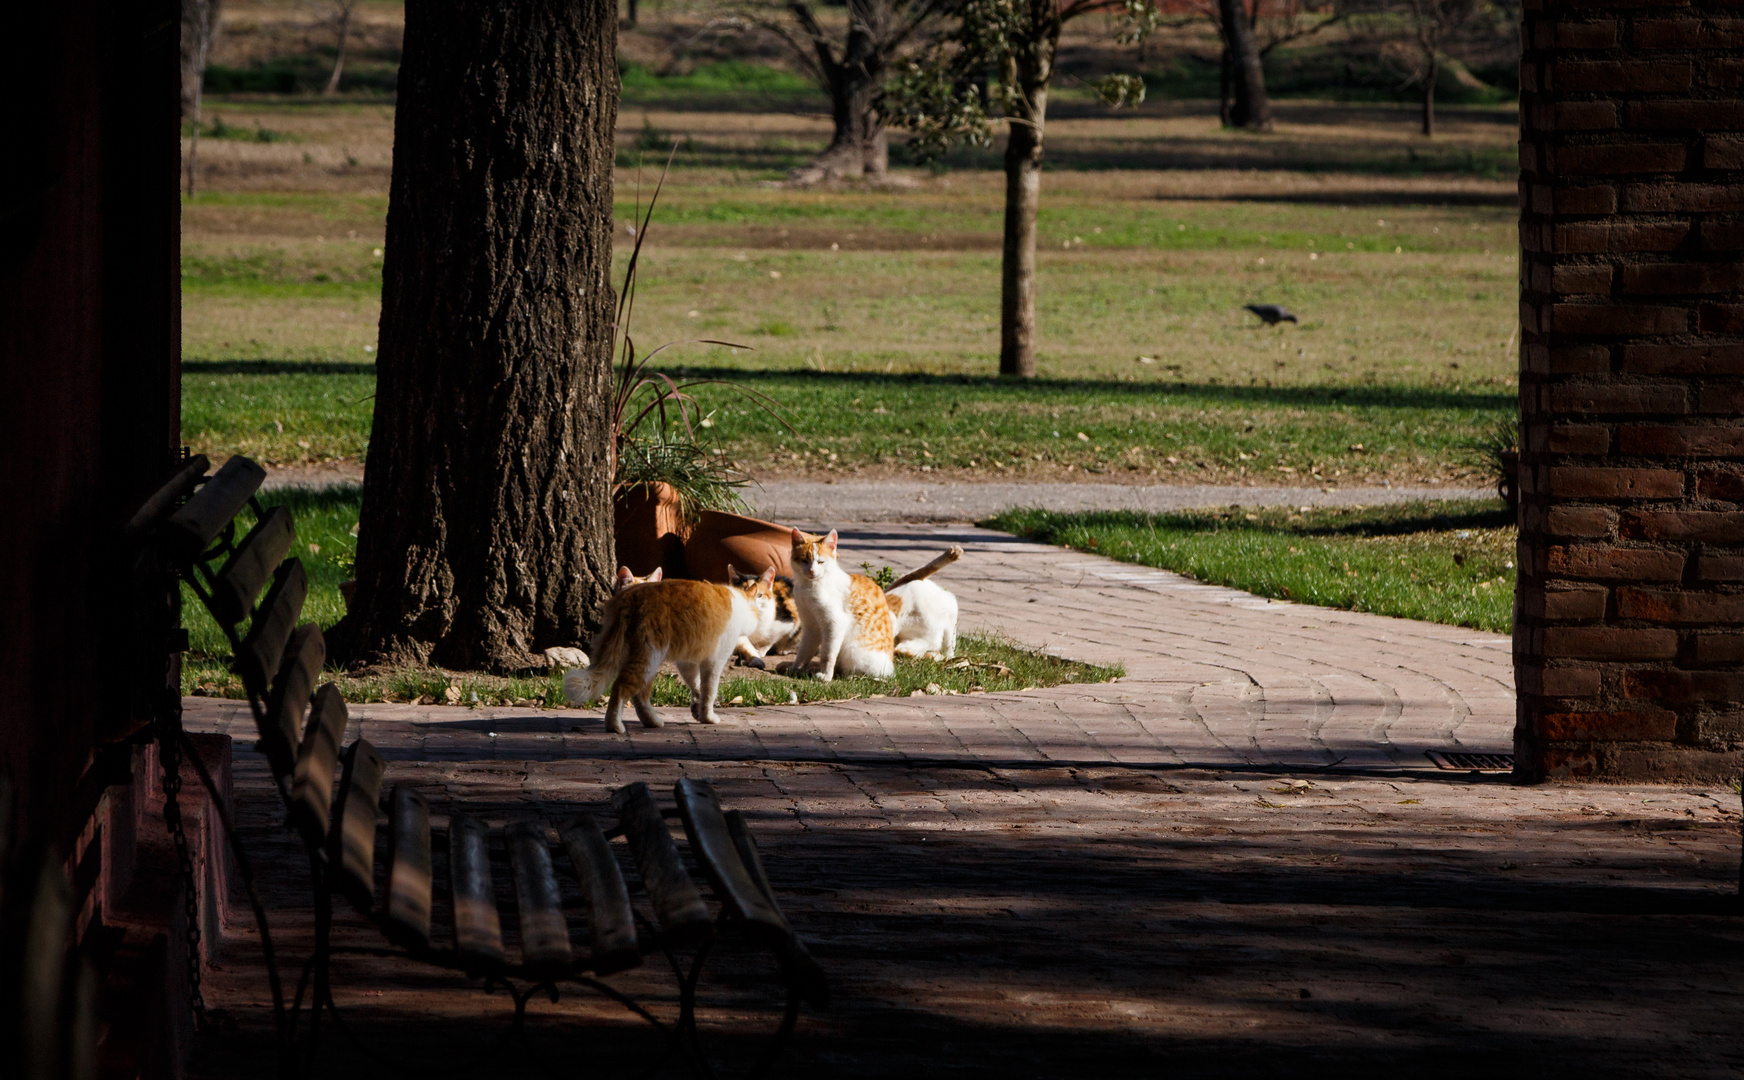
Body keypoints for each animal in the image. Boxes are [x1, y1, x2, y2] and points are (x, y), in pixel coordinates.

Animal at [565, 565, 777, 736]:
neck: (739, 601)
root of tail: (631, 595)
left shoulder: (687, 662)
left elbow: (696, 685)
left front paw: (697, 709)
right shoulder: (714, 661)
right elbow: (709, 690)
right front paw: (708, 716)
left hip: (646, 659)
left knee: (639, 695)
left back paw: (653, 722)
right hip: (649, 656)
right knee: (621, 688)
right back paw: (615, 726)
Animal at [791, 526, 899, 680]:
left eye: (821, 562)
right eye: (804, 560)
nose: (812, 571)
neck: (808, 588)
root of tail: (890, 668)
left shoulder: (835, 623)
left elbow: (828, 653)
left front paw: (826, 676)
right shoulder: (810, 626)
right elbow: (804, 651)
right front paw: (796, 669)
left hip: (852, 649)